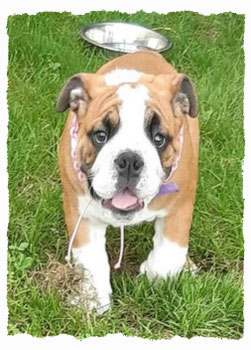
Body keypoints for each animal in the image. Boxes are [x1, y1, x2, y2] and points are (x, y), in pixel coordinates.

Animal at [56, 50, 198, 314]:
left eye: (159, 139)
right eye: (100, 135)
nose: (130, 160)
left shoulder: (180, 207)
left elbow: (169, 255)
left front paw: (152, 275)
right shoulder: (82, 213)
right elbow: (91, 260)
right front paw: (94, 301)